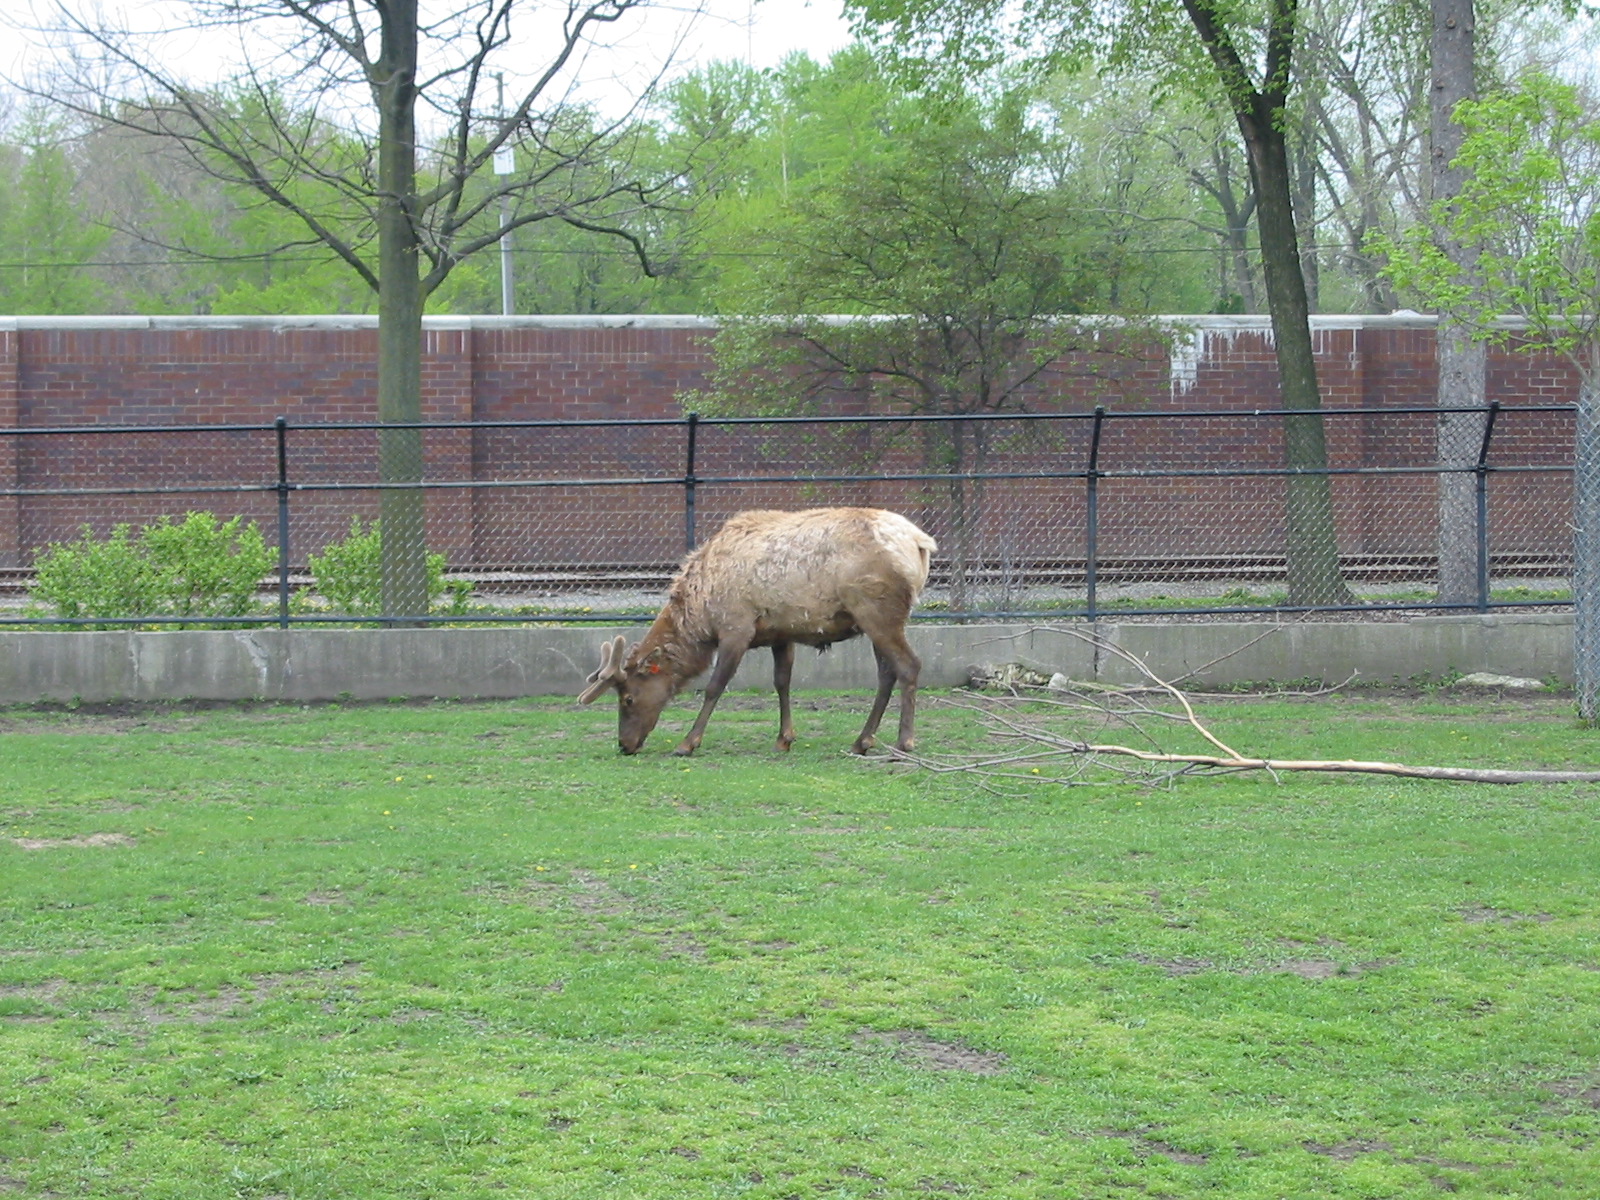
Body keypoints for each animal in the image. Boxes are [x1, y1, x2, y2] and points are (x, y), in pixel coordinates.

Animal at [578, 507, 937, 756]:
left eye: (628, 698)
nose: (625, 744)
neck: (700, 613)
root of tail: (920, 543)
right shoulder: (781, 633)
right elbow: (782, 682)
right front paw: (784, 739)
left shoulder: (736, 627)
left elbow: (714, 687)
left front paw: (687, 743)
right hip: (873, 619)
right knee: (886, 674)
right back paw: (862, 741)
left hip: (877, 610)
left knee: (910, 665)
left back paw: (904, 741)